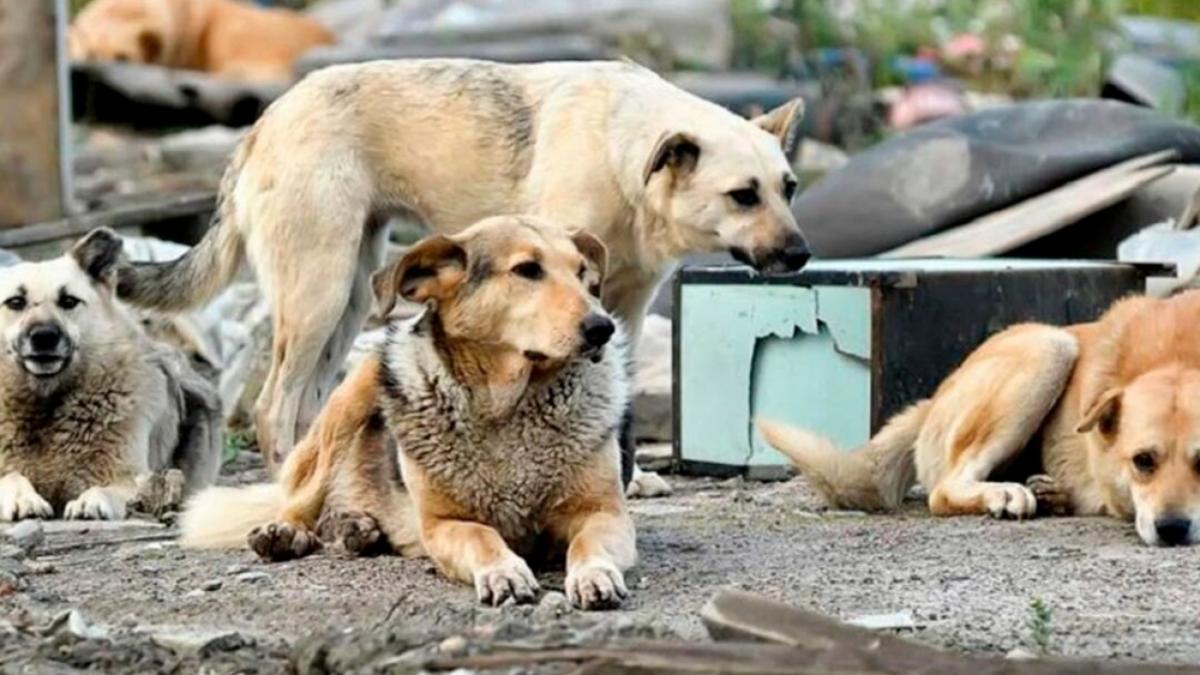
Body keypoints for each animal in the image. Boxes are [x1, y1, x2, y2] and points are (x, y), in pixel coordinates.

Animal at [0, 228, 223, 516]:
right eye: (15, 302)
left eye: (69, 301)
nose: (44, 337)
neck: (47, 404)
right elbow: (11, 477)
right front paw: (22, 498)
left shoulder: (132, 479)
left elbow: (107, 489)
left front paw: (91, 501)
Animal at [117, 56, 811, 494]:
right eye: (743, 196)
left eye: (790, 188)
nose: (802, 254)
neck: (624, 157)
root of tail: (265, 120)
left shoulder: (626, 310)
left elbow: (621, 404)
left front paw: (629, 477)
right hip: (318, 291)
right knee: (272, 405)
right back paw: (287, 477)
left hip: (348, 300)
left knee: (311, 403)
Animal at [178, 216, 638, 610]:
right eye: (527, 270)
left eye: (583, 274)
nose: (603, 328)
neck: (506, 407)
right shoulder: (443, 523)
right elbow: (482, 537)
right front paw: (503, 571)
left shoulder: (604, 514)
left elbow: (588, 544)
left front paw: (594, 575)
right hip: (356, 391)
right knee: (304, 495)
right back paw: (290, 531)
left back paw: (360, 529)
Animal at [763, 289, 1200, 547]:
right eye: (1143, 461)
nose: (1173, 530)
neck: (1180, 356)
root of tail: (935, 397)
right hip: (1048, 348)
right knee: (944, 490)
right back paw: (1004, 493)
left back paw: (1052, 493)